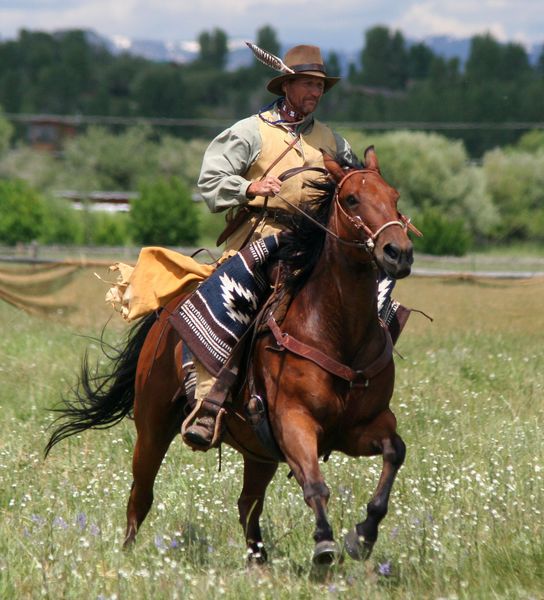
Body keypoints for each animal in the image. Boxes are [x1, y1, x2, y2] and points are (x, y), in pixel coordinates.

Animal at [45, 149, 412, 568]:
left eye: (395, 197)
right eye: (351, 199)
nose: (398, 252)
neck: (336, 333)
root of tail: (165, 314)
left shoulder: (360, 427)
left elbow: (394, 452)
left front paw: (363, 536)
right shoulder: (295, 423)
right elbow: (315, 485)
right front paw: (324, 543)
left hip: (258, 453)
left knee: (247, 505)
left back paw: (258, 563)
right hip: (152, 428)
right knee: (142, 493)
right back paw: (128, 554)